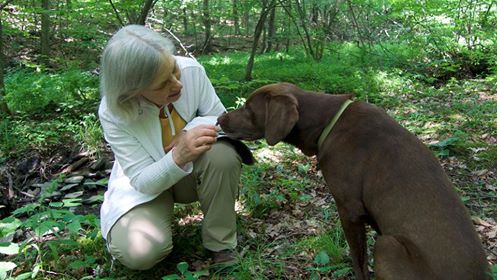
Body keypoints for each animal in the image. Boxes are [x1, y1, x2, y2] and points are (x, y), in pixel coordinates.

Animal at [217, 83, 488, 280]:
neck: (328, 122)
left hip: (387, 244)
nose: (219, 118)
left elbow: (359, 261)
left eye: (248, 108)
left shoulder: (349, 209)